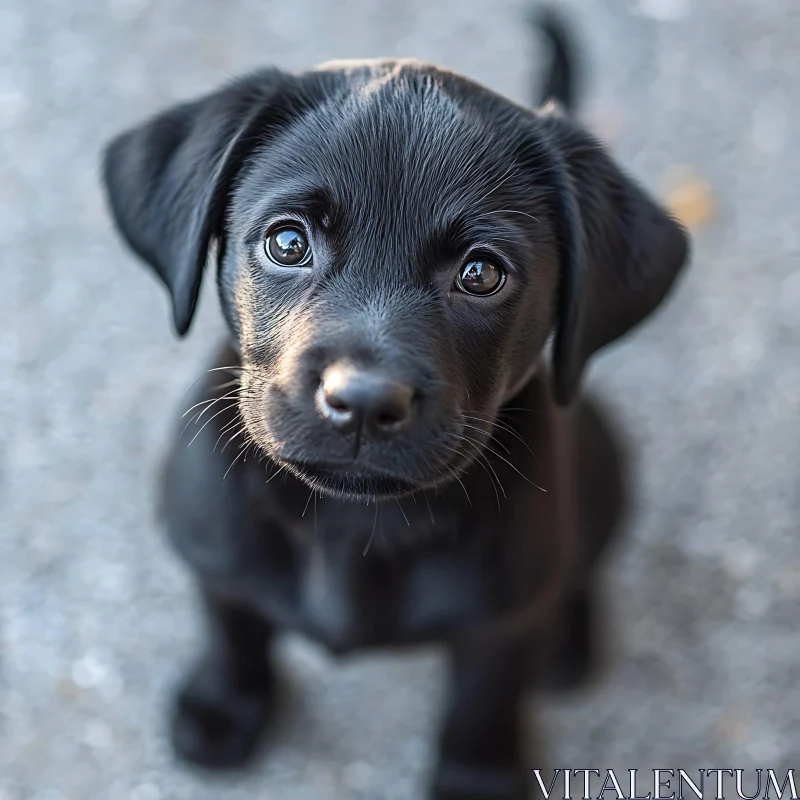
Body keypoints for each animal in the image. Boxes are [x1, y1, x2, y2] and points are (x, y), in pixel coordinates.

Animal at [101, 14, 688, 800]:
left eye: (482, 273)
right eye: (287, 241)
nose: (363, 401)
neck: (356, 523)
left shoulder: (498, 623)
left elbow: (483, 702)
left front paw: (476, 777)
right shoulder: (214, 555)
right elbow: (232, 627)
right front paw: (224, 705)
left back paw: (568, 638)